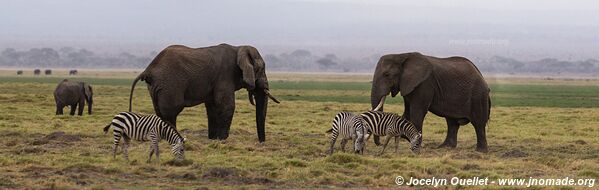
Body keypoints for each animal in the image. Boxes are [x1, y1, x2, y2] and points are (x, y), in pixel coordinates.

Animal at [129, 43, 278, 142]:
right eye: (262, 69)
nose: (261, 142)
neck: (239, 48)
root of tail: (148, 69)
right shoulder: (225, 76)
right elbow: (226, 106)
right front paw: (223, 140)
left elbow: (212, 107)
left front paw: (213, 139)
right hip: (169, 84)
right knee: (170, 112)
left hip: (155, 86)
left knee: (160, 112)